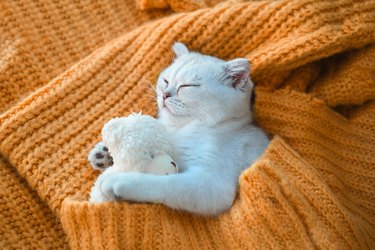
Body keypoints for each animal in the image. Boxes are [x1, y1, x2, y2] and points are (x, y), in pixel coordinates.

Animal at [88, 42, 270, 215]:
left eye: (187, 86)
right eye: (165, 81)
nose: (165, 94)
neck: (181, 129)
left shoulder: (211, 184)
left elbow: (164, 184)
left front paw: (121, 180)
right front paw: (105, 153)